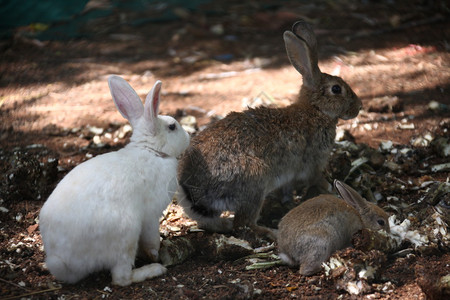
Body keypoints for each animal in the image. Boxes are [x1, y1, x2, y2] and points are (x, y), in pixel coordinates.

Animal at [39, 75, 192, 286]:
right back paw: (153, 270)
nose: (188, 137)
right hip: (126, 233)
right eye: (172, 127)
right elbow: (151, 239)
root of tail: (64, 262)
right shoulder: (151, 216)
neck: (151, 151)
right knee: (121, 278)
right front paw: (155, 254)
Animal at [178, 19, 360, 239]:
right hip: (255, 182)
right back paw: (271, 232)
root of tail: (194, 191)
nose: (358, 107)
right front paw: (330, 187)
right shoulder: (314, 162)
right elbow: (317, 178)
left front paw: (287, 200)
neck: (315, 109)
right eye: (336, 89)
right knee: (244, 223)